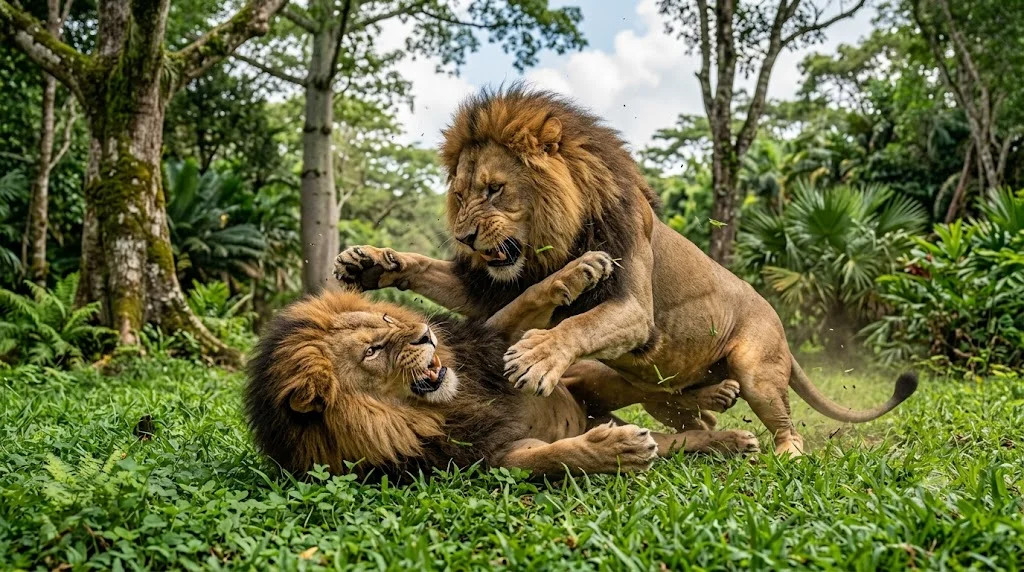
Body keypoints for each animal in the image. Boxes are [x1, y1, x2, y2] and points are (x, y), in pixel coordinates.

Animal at [244, 251, 679, 479]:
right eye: (372, 351)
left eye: (385, 319)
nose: (425, 334)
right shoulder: (483, 456)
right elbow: (551, 457)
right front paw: (621, 450)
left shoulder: (492, 344)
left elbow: (527, 298)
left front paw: (583, 268)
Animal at [333, 85, 918, 457]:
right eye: (460, 195)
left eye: (495, 190)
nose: (466, 238)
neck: (552, 240)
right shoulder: (492, 287)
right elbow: (432, 272)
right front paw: (369, 263)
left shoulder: (634, 306)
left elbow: (581, 323)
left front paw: (536, 357)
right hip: (672, 400)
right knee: (690, 413)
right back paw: (717, 413)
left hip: (758, 365)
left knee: (783, 420)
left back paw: (787, 453)